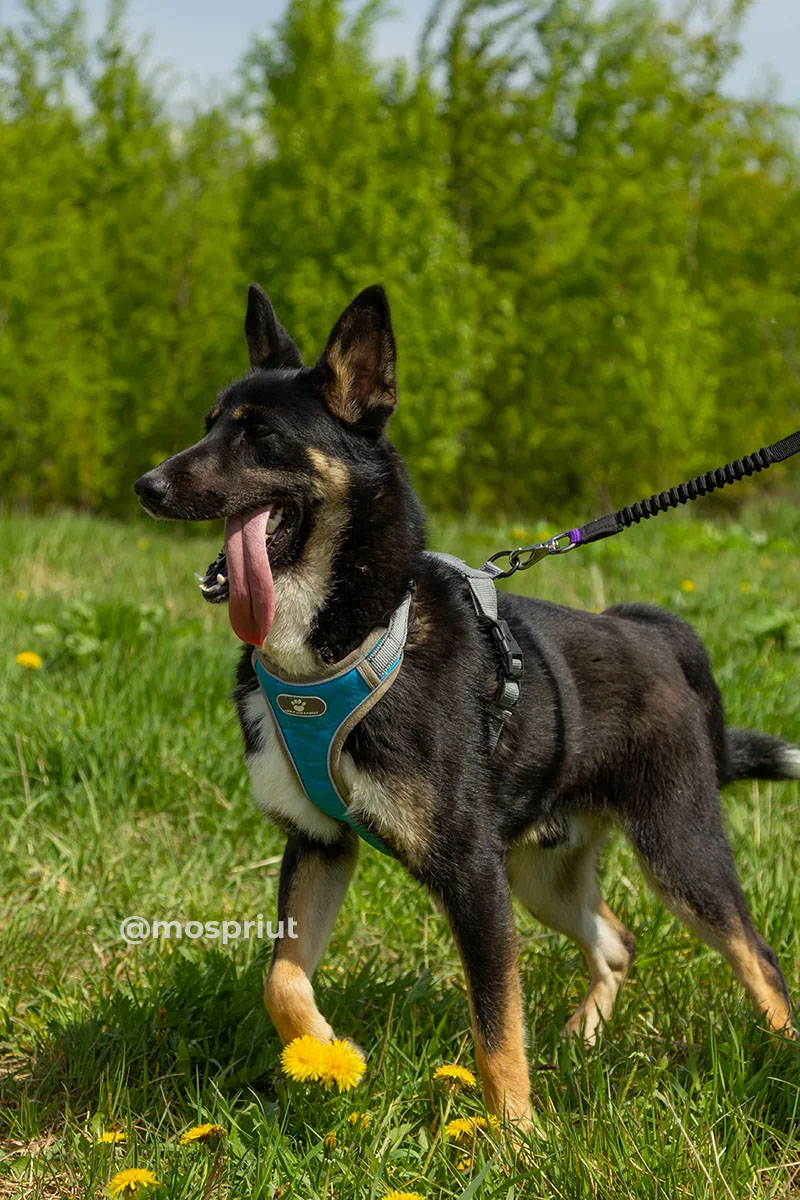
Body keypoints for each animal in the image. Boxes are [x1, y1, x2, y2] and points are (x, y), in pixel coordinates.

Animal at [134, 285, 796, 1128]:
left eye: (260, 434)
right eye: (209, 421)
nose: (146, 486)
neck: (342, 643)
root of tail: (651, 633)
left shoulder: (473, 875)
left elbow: (496, 1027)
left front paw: (517, 1136)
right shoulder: (320, 843)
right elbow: (280, 978)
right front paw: (325, 1050)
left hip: (677, 849)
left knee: (755, 952)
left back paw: (778, 1053)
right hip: (541, 873)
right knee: (618, 941)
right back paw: (584, 1036)